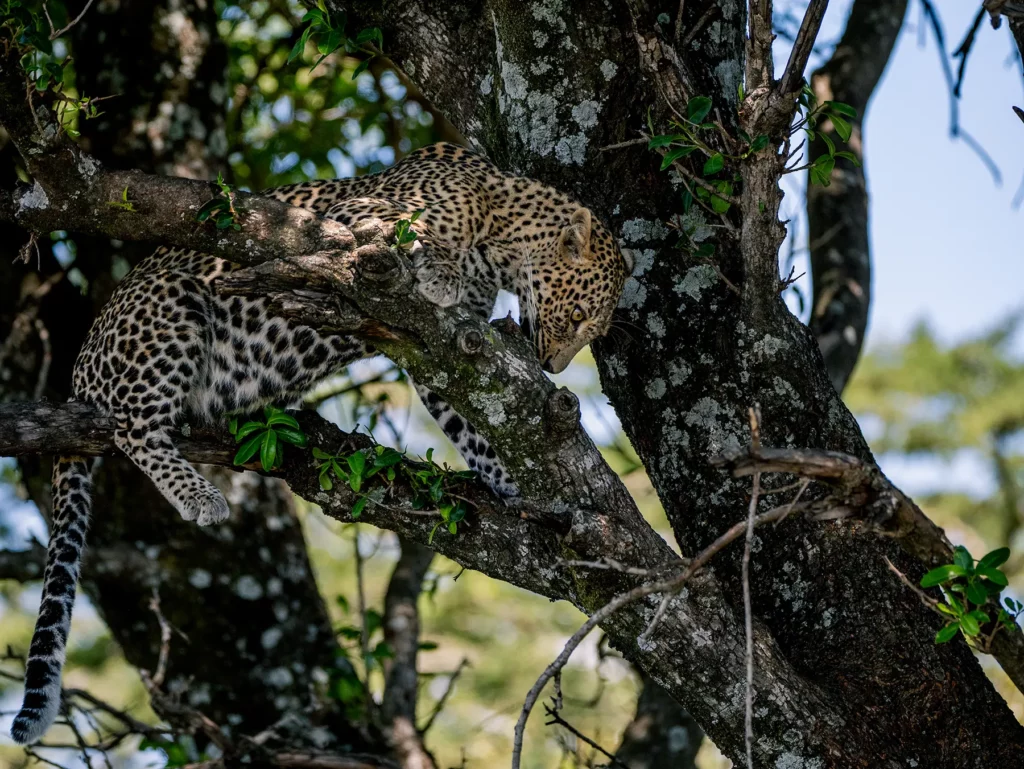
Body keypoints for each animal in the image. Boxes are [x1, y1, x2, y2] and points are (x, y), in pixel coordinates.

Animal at [11, 142, 633, 744]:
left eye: (592, 326)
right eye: (577, 313)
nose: (553, 366)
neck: (501, 232)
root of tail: (79, 374)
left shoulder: (452, 351)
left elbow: (476, 426)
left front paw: (513, 487)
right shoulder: (351, 221)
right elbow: (410, 235)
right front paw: (438, 272)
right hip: (172, 306)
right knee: (131, 426)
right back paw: (200, 497)